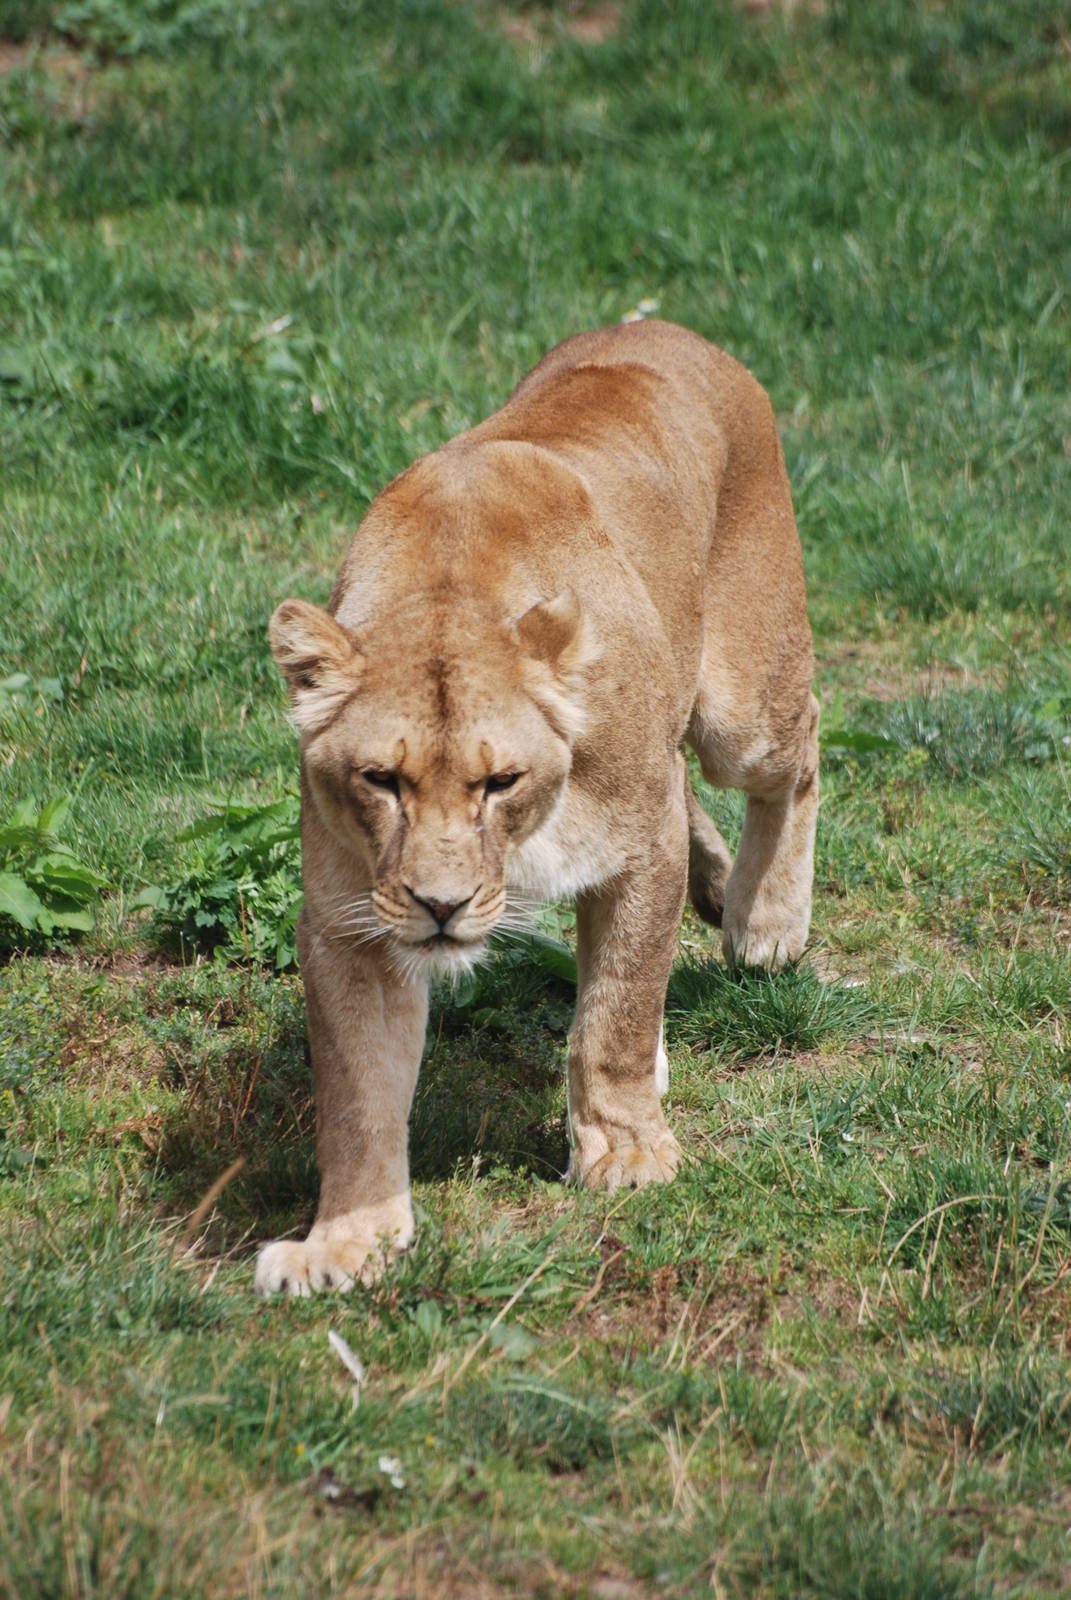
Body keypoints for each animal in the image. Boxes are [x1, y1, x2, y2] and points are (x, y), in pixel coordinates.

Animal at [255, 320, 818, 1296]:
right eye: (381, 780)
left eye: (499, 782)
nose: (440, 907)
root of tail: (663, 326)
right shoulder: (349, 921)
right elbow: (357, 1097)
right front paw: (347, 1242)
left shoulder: (640, 849)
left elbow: (616, 1013)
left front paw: (626, 1154)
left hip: (744, 703)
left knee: (797, 745)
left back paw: (767, 922)